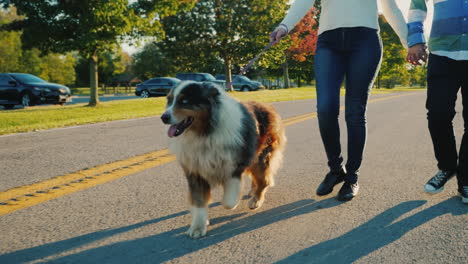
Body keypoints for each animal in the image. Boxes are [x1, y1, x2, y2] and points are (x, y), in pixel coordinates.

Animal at [161, 81, 286, 238]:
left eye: (184, 101)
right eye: (169, 100)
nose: (164, 117)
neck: (205, 132)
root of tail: (268, 106)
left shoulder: (234, 166)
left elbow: (228, 201)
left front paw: (232, 203)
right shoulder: (195, 171)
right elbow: (199, 201)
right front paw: (198, 226)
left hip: (261, 157)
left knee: (265, 180)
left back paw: (256, 200)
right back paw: (253, 191)